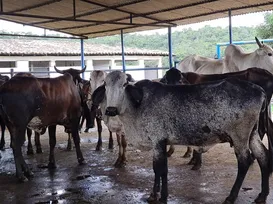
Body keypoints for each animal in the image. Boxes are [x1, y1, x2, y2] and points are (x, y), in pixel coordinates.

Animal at [92, 70, 272, 204]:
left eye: (124, 84)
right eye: (105, 85)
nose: (111, 110)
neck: (137, 105)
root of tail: (260, 91)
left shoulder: (158, 141)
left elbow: (161, 169)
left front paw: (162, 196)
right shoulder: (158, 144)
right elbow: (157, 169)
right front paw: (154, 194)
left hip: (240, 136)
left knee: (244, 161)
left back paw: (231, 197)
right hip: (252, 134)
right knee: (263, 156)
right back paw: (262, 195)